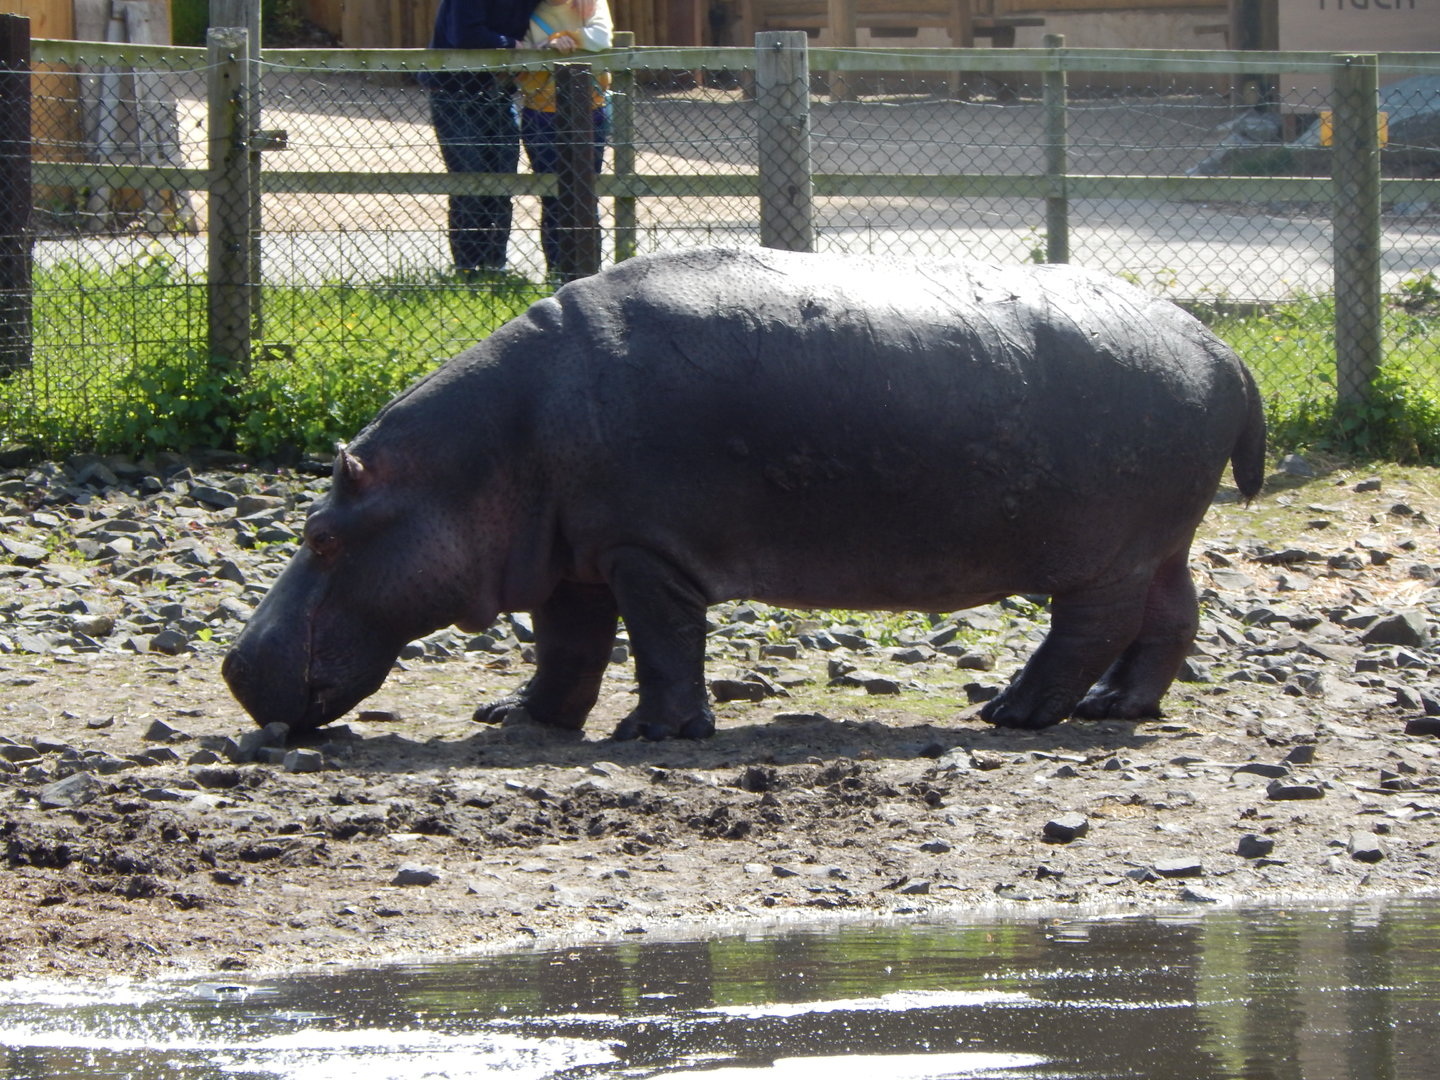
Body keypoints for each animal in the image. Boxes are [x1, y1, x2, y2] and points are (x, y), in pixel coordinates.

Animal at [223, 247, 1265, 740]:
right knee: (1173, 615)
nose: (234, 667)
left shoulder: (644, 553)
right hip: (1161, 538)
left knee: (1091, 625)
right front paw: (522, 720)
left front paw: (654, 733)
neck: (477, 459)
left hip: (1106, 550)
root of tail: (1223, 348)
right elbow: (567, 652)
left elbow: (661, 644)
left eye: (320, 536)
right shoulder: (575, 559)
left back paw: (1014, 711)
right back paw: (1115, 709)